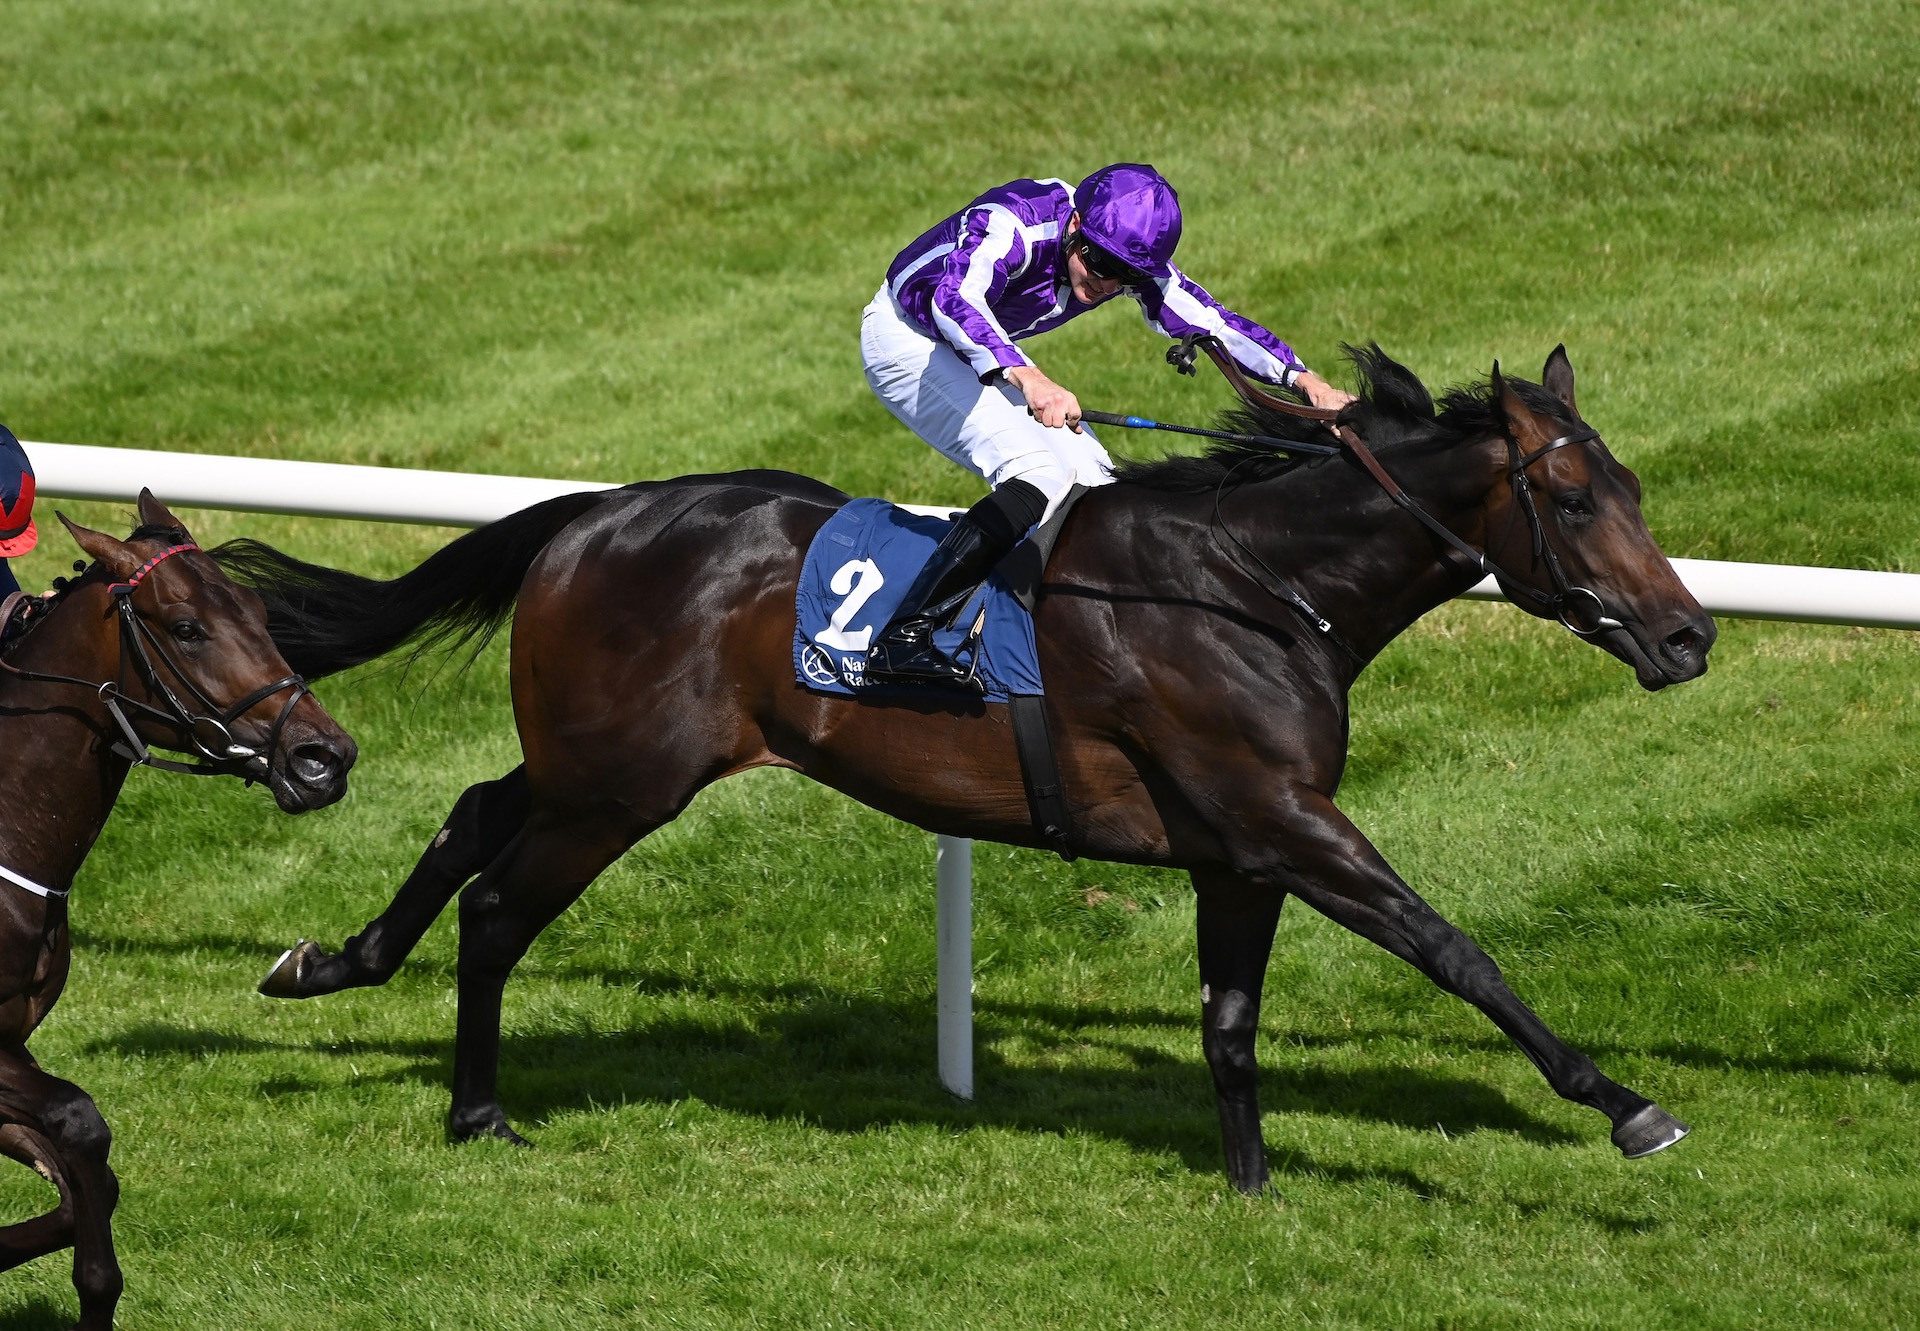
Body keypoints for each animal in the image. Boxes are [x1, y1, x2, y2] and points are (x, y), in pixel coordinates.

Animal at [0, 495, 357, 1329]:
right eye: (188, 627)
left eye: (258, 611)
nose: (324, 758)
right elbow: (80, 1121)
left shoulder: (10, 1045)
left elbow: (83, 1185)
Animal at [236, 345, 1712, 1190]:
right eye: (1572, 496)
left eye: (1633, 488)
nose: (1690, 634)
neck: (1251, 588)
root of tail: (592, 514)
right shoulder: (1288, 818)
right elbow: (1454, 946)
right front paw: (1626, 1105)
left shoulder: (1238, 849)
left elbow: (1230, 1025)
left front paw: (1247, 1187)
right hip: (621, 784)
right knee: (497, 905)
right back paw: (477, 1110)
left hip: (591, 758)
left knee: (472, 811)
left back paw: (332, 959)